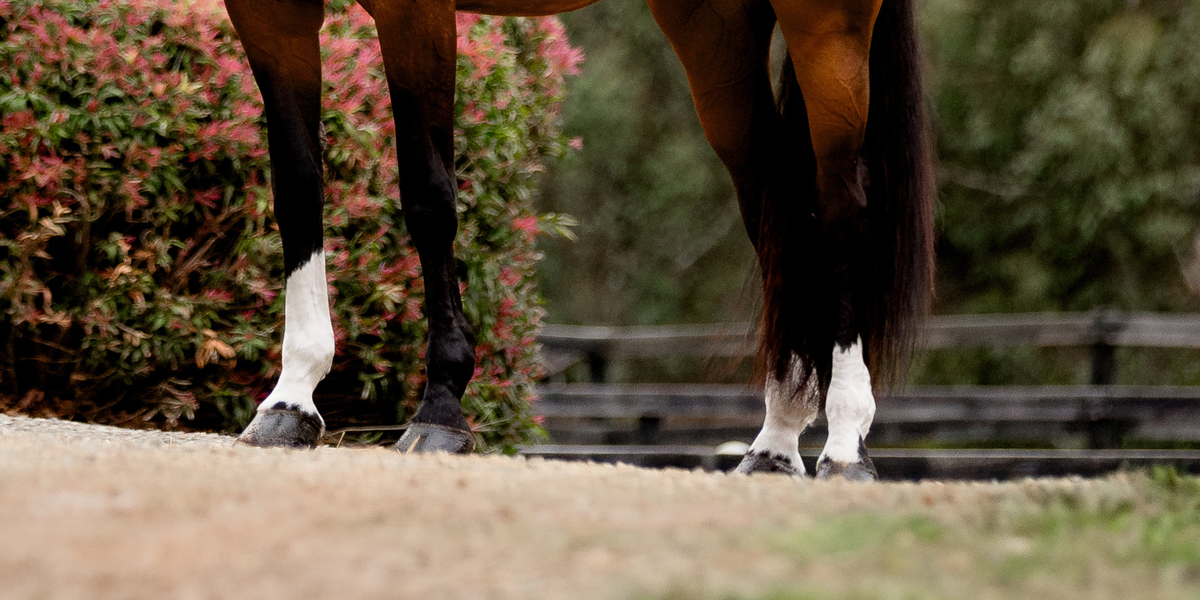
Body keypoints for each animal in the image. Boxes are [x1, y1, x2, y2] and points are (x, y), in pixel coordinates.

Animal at [227, 0, 934, 481]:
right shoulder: (268, 10)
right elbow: (297, 187)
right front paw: (292, 397)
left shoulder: (415, 7)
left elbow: (429, 197)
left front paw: (441, 409)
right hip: (716, 28)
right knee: (776, 203)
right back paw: (777, 438)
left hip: (827, 22)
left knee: (841, 209)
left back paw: (845, 442)